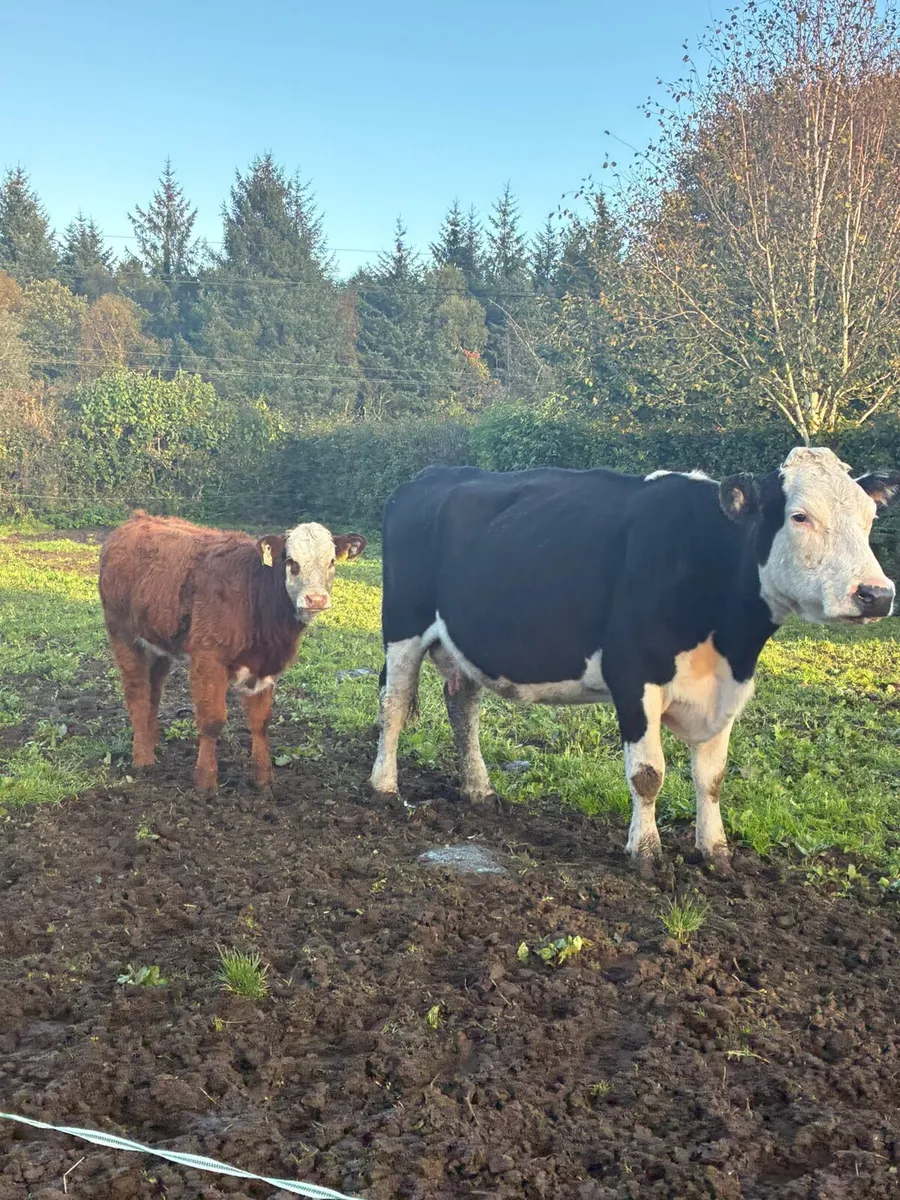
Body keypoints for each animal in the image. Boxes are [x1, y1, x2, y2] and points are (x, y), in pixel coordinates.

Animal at [99, 511, 366, 797]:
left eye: (331, 562)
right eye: (291, 562)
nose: (316, 599)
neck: (255, 593)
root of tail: (138, 519)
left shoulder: (264, 667)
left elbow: (260, 722)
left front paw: (263, 779)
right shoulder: (208, 659)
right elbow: (212, 721)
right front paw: (205, 781)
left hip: (159, 644)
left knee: (154, 690)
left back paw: (151, 742)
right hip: (124, 635)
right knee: (137, 691)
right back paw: (143, 759)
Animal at [370, 447, 898, 873]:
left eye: (870, 517)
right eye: (799, 517)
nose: (876, 594)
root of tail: (428, 477)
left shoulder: (728, 689)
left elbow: (712, 778)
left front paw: (716, 853)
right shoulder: (634, 677)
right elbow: (648, 774)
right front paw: (646, 853)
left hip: (463, 641)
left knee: (463, 708)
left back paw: (478, 790)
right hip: (403, 627)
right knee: (393, 704)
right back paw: (384, 786)